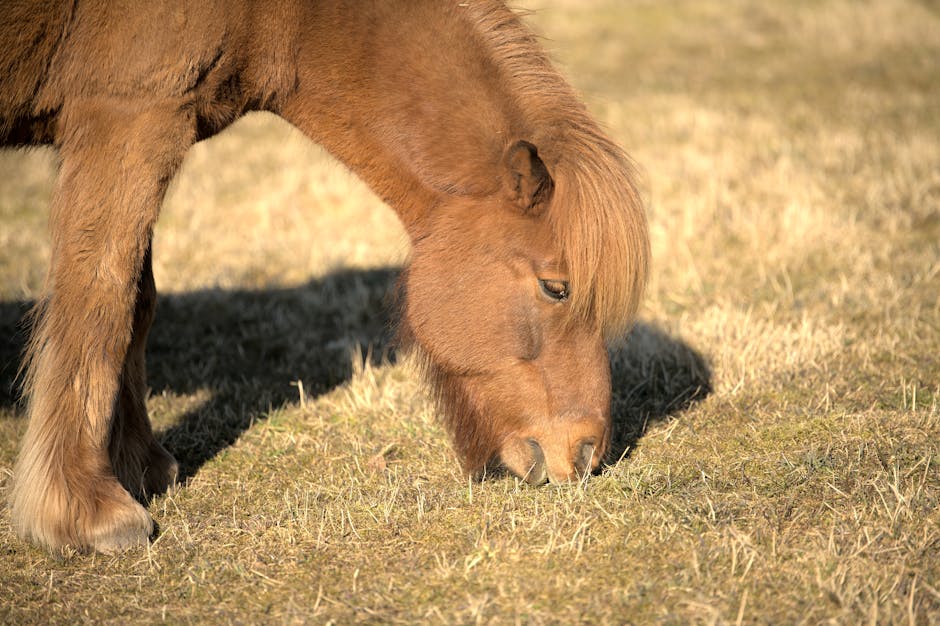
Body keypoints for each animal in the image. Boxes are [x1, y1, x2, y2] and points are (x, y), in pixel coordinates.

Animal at [0, 0, 648, 552]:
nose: (588, 454)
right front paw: (86, 510)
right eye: (556, 287)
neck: (274, 15)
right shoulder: (128, 118)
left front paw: (141, 465)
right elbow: (100, 300)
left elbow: (137, 301)